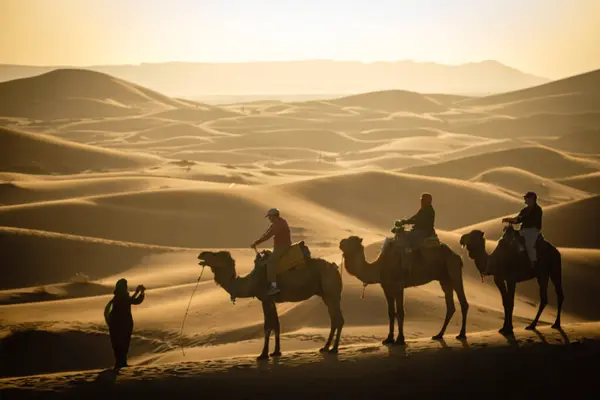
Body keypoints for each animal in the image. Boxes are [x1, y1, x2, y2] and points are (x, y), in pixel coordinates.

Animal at [199, 247, 344, 360]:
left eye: (215, 254)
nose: (201, 254)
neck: (251, 282)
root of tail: (335, 268)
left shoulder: (265, 298)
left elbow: (268, 325)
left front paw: (263, 354)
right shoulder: (271, 299)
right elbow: (276, 324)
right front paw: (276, 352)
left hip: (331, 292)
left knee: (338, 319)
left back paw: (334, 349)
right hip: (326, 295)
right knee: (334, 318)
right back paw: (326, 347)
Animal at [338, 227, 468, 346]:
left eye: (352, 241)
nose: (341, 242)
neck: (380, 266)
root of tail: (457, 256)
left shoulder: (398, 286)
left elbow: (400, 312)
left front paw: (400, 339)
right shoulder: (386, 288)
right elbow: (391, 312)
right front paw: (389, 339)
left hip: (454, 272)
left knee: (463, 303)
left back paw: (461, 334)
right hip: (444, 279)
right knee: (450, 306)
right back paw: (439, 335)